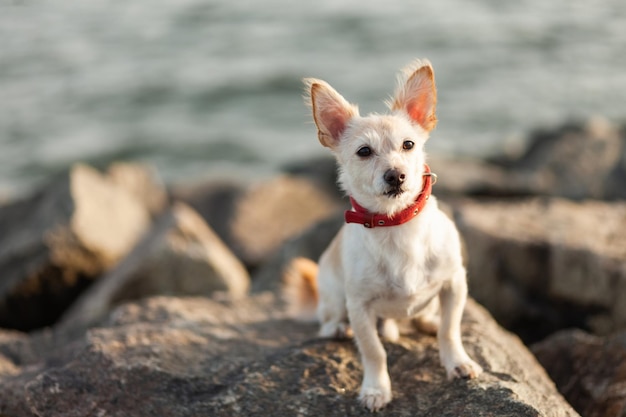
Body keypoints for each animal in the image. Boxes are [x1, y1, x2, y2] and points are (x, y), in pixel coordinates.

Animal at [286, 60, 480, 412]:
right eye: (364, 151)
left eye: (408, 145)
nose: (396, 175)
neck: (396, 225)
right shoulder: (360, 307)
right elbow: (373, 351)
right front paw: (376, 389)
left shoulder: (455, 283)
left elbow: (450, 329)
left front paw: (457, 362)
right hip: (333, 294)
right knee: (328, 319)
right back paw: (338, 328)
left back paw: (427, 320)